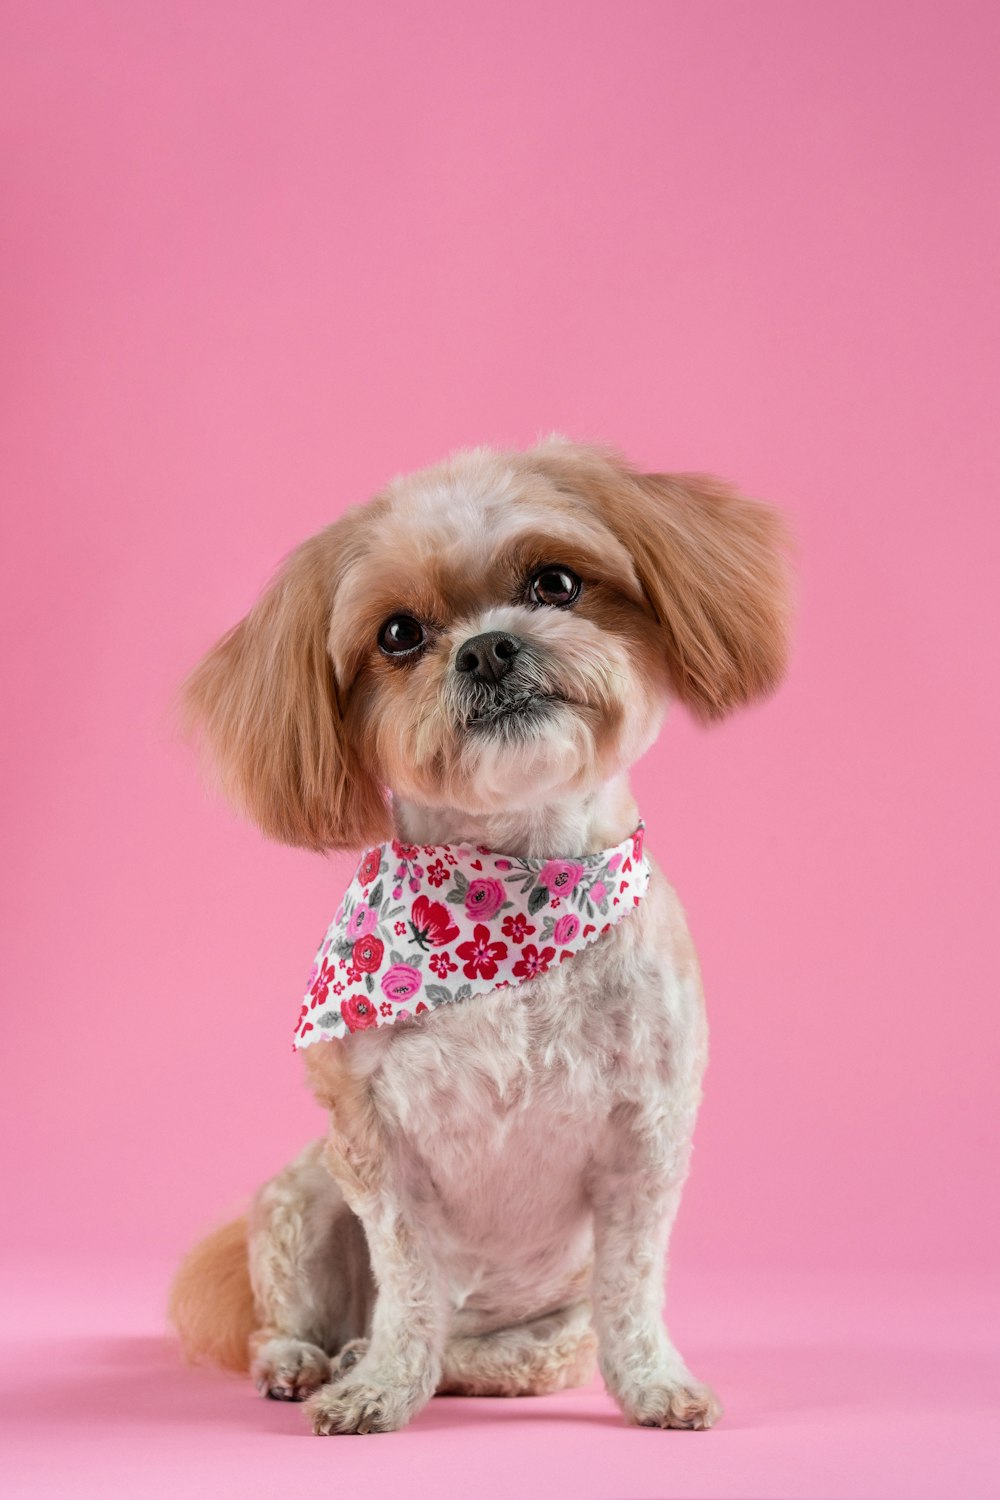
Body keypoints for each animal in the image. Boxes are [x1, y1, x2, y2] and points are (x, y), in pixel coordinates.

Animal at [173, 438, 797, 1434]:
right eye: (398, 634)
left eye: (556, 582)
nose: (488, 647)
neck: (505, 912)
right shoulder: (372, 1148)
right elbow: (407, 1290)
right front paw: (378, 1390)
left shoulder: (647, 1139)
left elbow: (635, 1290)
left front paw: (657, 1384)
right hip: (300, 1198)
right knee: (309, 1319)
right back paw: (314, 1359)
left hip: (552, 1333)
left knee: (480, 1362)